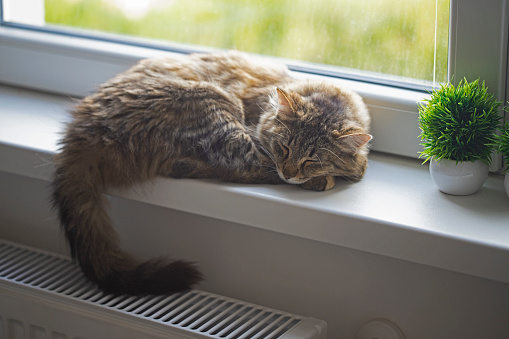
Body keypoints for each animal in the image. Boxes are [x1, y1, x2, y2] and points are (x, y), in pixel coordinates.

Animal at [50, 49, 370, 294]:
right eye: (284, 148)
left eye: (311, 160)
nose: (290, 172)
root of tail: (83, 129)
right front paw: (334, 175)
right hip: (214, 102)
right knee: (241, 168)